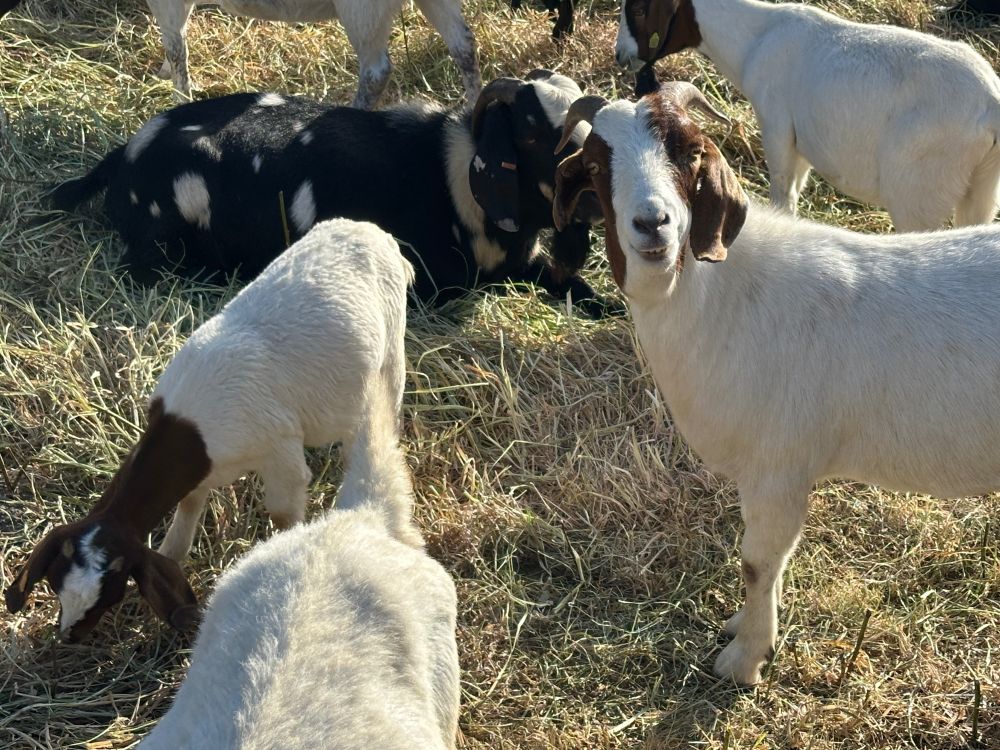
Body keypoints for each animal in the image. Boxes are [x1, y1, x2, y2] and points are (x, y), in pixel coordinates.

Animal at [5, 218, 413, 642]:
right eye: (56, 581)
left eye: (110, 589)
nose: (69, 635)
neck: (190, 429)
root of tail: (370, 230)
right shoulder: (202, 470)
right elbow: (185, 516)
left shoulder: (280, 449)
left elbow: (283, 512)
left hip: (392, 349)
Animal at [51, 72, 620, 318]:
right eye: (530, 131)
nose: (600, 192)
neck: (452, 178)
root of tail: (127, 153)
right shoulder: (430, 290)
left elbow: (572, 286)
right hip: (162, 245)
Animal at [553, 83, 1000, 684]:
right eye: (598, 164)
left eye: (690, 153)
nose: (652, 223)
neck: (716, 298)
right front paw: (741, 630)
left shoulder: (779, 468)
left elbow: (757, 563)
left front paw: (744, 660)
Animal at [615, 0, 1000, 231]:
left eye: (639, 9)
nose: (621, 56)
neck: (755, 38)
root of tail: (990, 104)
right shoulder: (800, 145)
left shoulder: (777, 127)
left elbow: (783, 192)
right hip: (983, 185)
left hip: (919, 192)